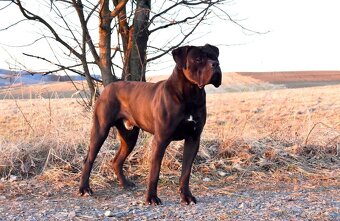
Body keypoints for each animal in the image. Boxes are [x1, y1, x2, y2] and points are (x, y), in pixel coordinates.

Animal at [78, 43, 222, 205]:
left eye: (214, 57)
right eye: (198, 59)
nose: (216, 64)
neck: (191, 95)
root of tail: (107, 88)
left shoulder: (193, 139)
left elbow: (186, 172)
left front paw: (186, 196)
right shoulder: (161, 139)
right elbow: (155, 171)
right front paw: (151, 198)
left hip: (129, 137)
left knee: (116, 161)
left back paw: (125, 184)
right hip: (100, 130)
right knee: (88, 159)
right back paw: (84, 188)